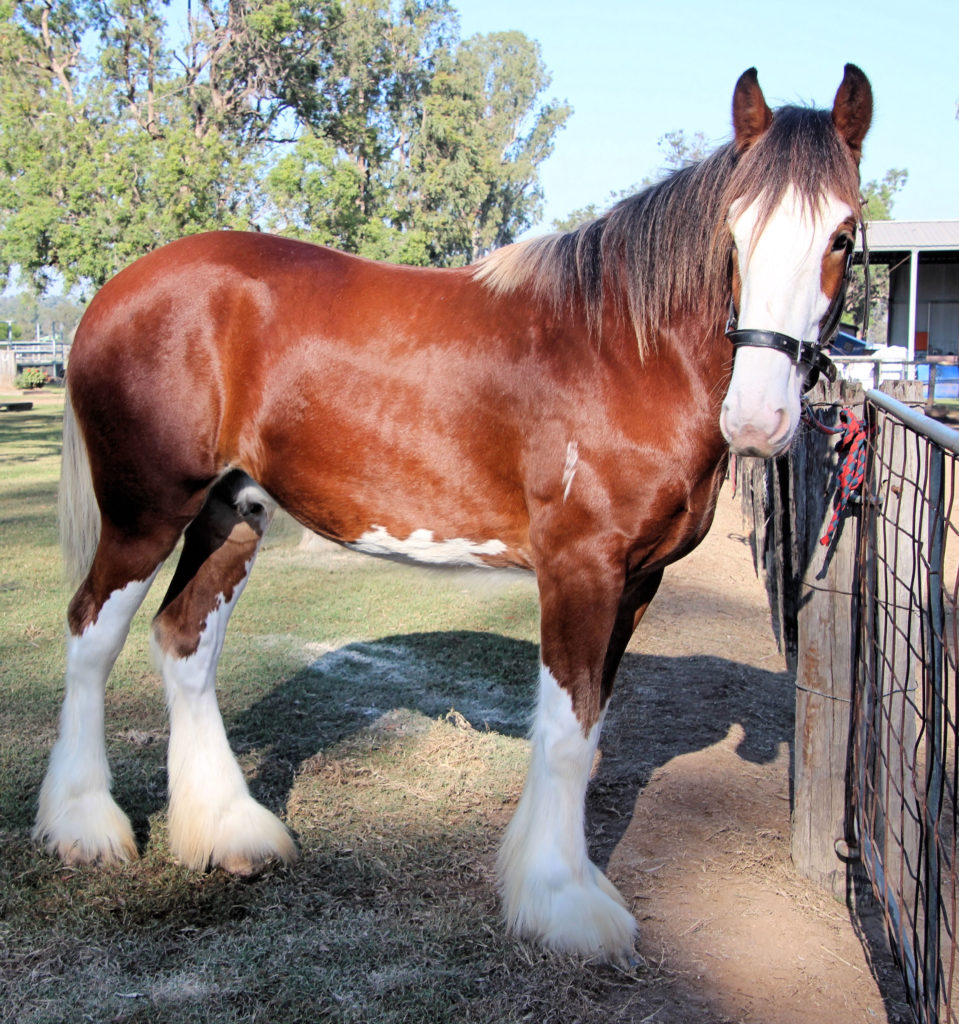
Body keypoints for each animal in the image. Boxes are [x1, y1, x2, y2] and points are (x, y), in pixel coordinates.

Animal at [35, 64, 867, 958]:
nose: (757, 419)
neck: (626, 350)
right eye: (734, 235)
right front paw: (564, 901)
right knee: (90, 636)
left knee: (185, 641)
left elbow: (590, 727)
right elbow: (567, 731)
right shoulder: (580, 568)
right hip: (145, 511)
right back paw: (85, 828)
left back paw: (230, 833)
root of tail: (118, 289)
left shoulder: (636, 580)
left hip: (232, 513)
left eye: (842, 237)